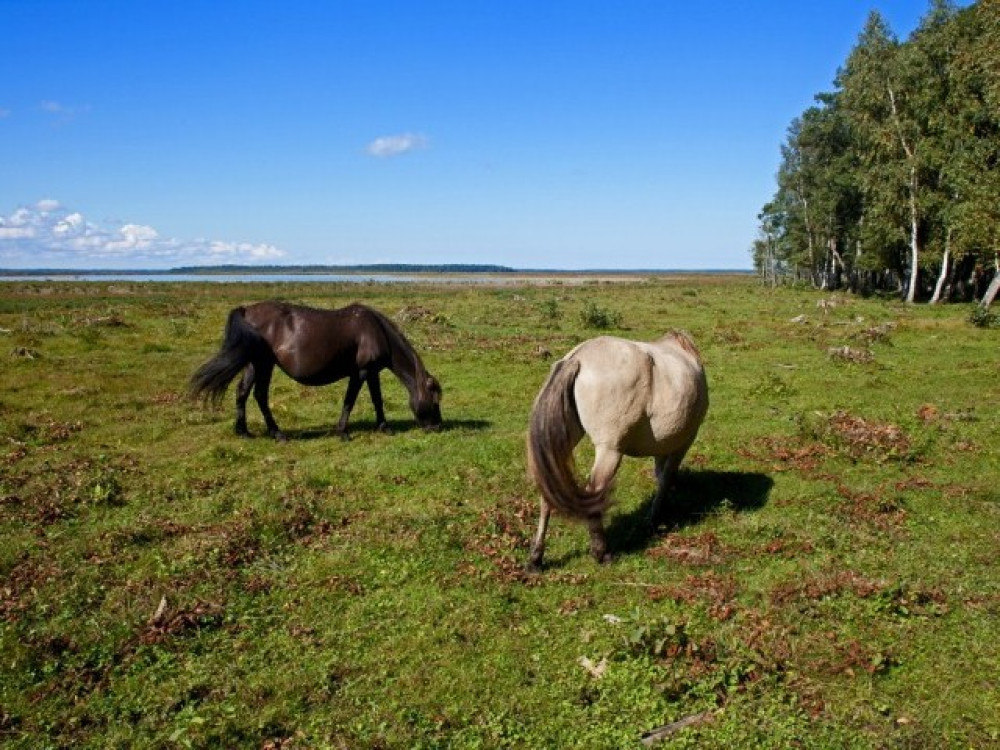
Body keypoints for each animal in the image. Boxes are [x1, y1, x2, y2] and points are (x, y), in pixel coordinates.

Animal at [189, 302, 444, 440]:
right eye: (434, 401)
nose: (437, 427)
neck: (376, 332)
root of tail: (246, 310)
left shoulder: (372, 372)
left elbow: (377, 400)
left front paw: (384, 427)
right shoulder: (361, 372)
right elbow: (349, 401)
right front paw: (343, 432)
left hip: (254, 363)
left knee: (242, 392)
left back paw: (243, 431)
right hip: (264, 364)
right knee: (260, 395)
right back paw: (277, 433)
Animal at [528, 332, 708, 572]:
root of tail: (578, 359)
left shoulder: (664, 446)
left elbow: (660, 475)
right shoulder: (684, 441)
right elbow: (666, 477)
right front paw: (654, 517)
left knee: (548, 493)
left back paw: (535, 558)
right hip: (610, 451)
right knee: (594, 490)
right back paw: (602, 553)